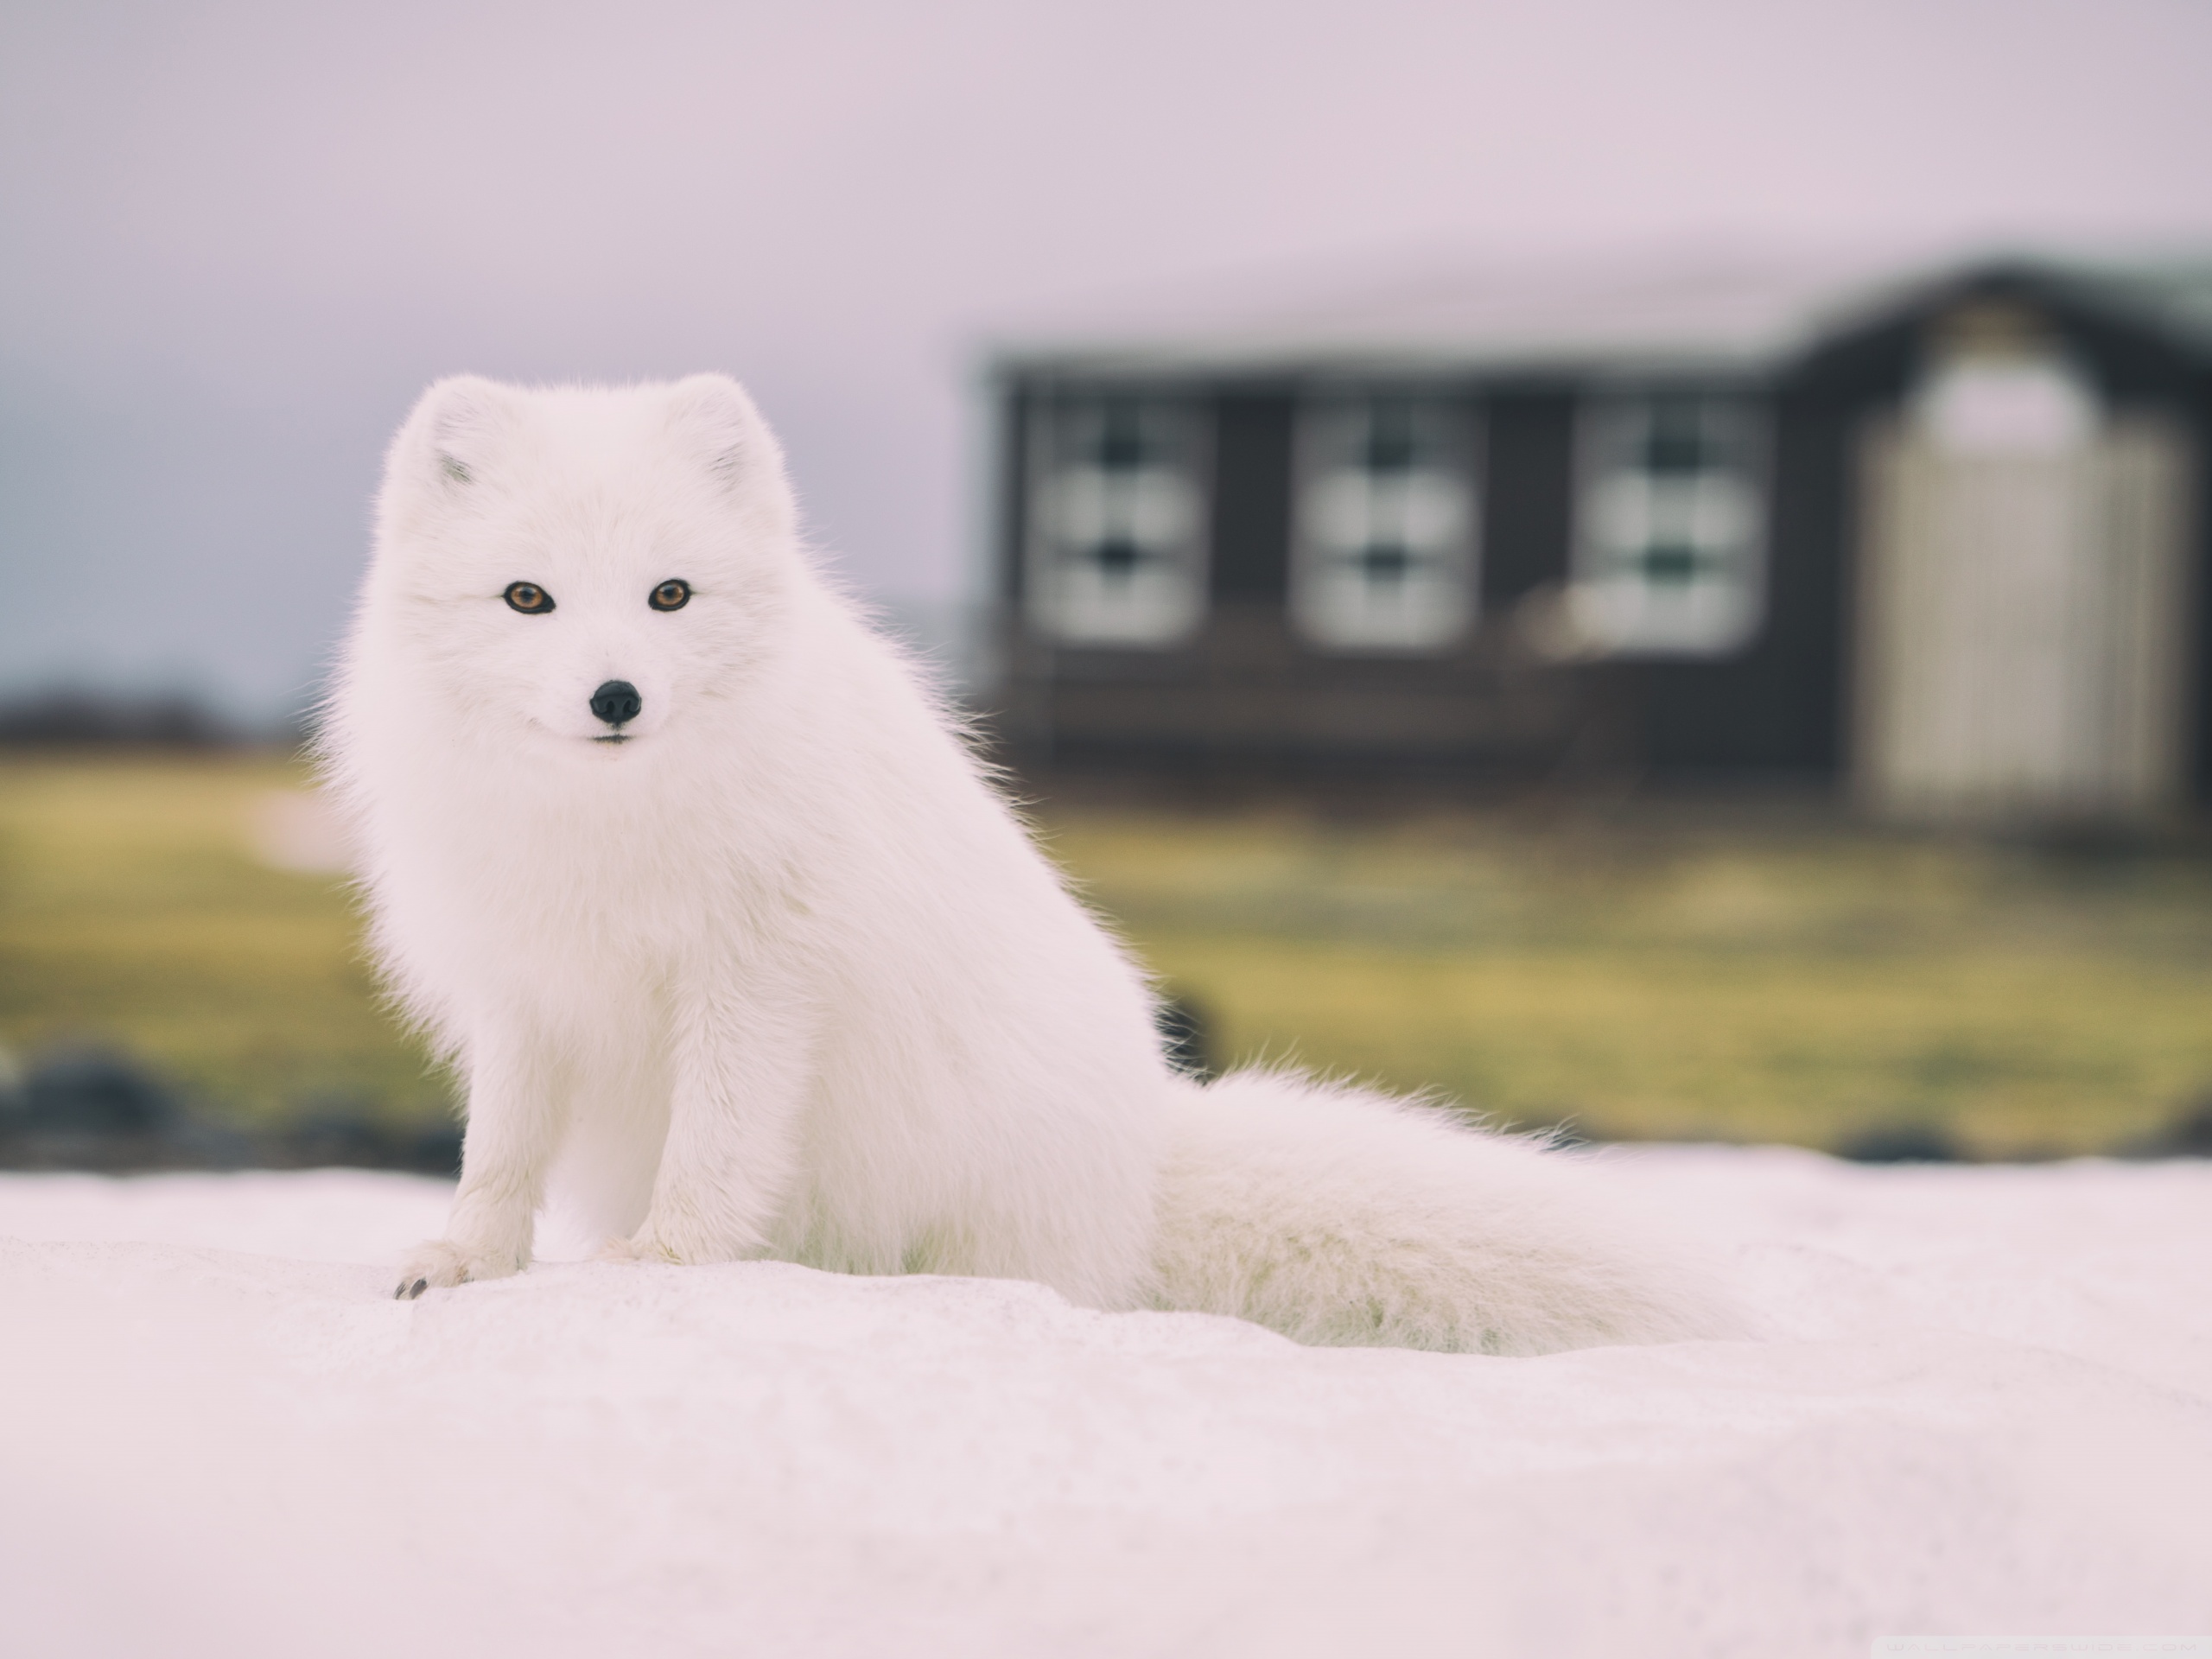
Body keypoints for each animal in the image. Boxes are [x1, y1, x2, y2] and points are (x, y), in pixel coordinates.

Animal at [321, 373, 1734, 1355]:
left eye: (670, 596)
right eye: (528, 599)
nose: (616, 698)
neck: (606, 829)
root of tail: (1145, 1160)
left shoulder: (754, 977)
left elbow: (715, 1146)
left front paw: (661, 1267)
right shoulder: (520, 992)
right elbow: (497, 1154)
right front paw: (463, 1265)